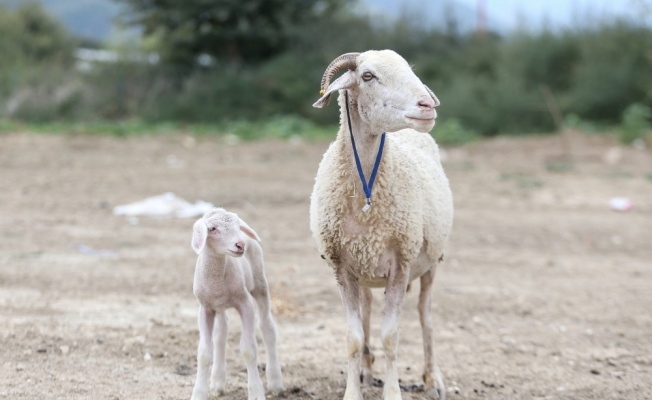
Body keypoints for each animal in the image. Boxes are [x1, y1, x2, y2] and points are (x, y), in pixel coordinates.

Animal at [187, 208, 282, 400]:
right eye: (212, 228)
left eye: (237, 226)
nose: (240, 245)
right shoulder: (205, 308)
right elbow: (204, 354)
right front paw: (199, 393)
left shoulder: (245, 303)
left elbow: (249, 350)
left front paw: (256, 393)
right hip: (220, 306)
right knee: (221, 333)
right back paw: (217, 383)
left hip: (260, 283)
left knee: (267, 328)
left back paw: (275, 382)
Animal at [310, 50, 454, 400]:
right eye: (368, 76)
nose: (427, 105)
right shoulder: (341, 268)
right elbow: (353, 337)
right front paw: (352, 391)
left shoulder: (400, 265)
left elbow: (391, 336)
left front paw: (392, 392)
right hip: (364, 269)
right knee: (367, 312)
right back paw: (366, 370)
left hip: (431, 263)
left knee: (426, 316)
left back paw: (433, 378)